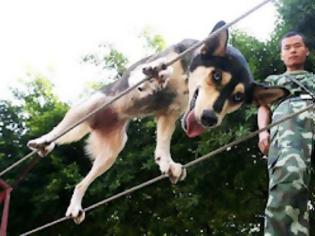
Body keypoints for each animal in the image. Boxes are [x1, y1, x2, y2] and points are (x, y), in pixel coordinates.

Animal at [26, 21, 288, 224]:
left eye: (238, 98)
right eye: (216, 75)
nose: (210, 119)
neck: (185, 81)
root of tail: (100, 122)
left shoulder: (168, 115)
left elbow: (163, 145)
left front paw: (167, 163)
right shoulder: (143, 71)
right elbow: (155, 70)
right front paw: (158, 75)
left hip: (111, 153)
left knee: (81, 184)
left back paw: (75, 206)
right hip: (83, 112)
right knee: (59, 132)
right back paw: (43, 142)